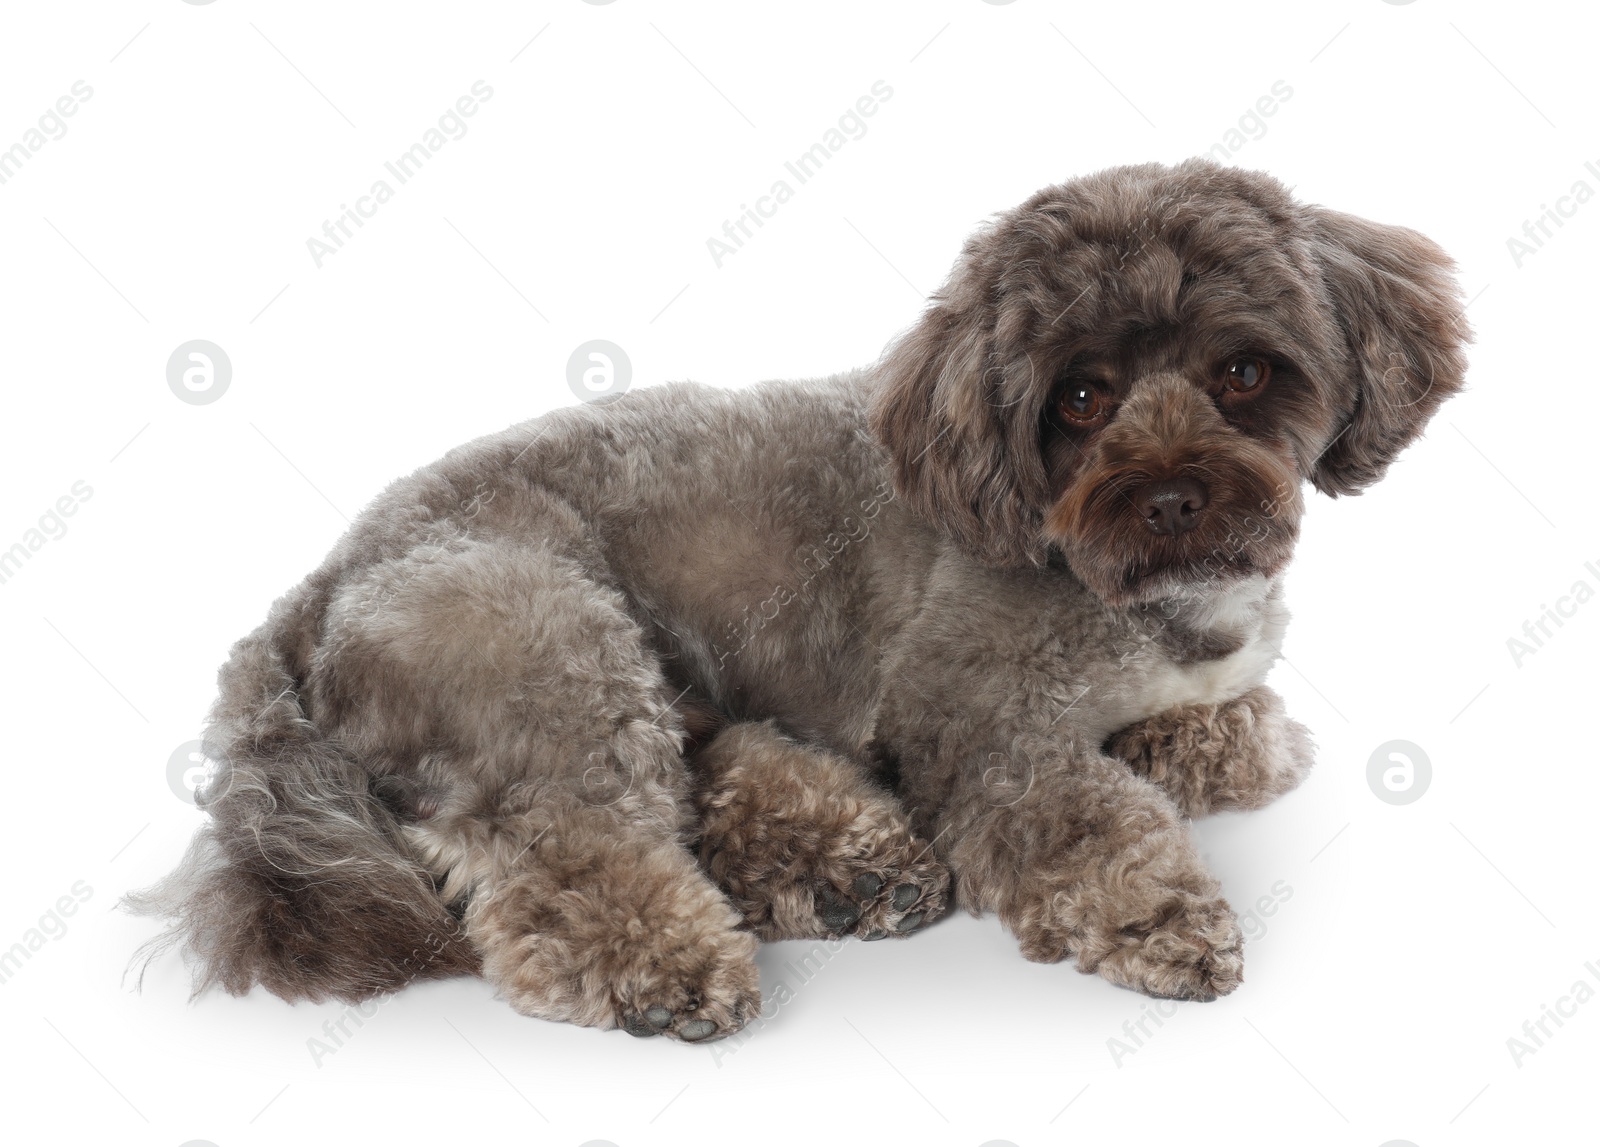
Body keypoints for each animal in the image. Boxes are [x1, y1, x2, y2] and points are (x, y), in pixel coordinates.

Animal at [131, 156, 1465, 1043]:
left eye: (1243, 372)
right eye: (1080, 398)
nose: (1175, 496)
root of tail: (313, 586)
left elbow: (1247, 729)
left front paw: (1200, 739)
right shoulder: (971, 718)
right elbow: (1083, 816)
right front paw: (1158, 912)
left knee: (697, 777)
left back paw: (847, 866)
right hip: (548, 646)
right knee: (564, 853)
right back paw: (676, 956)